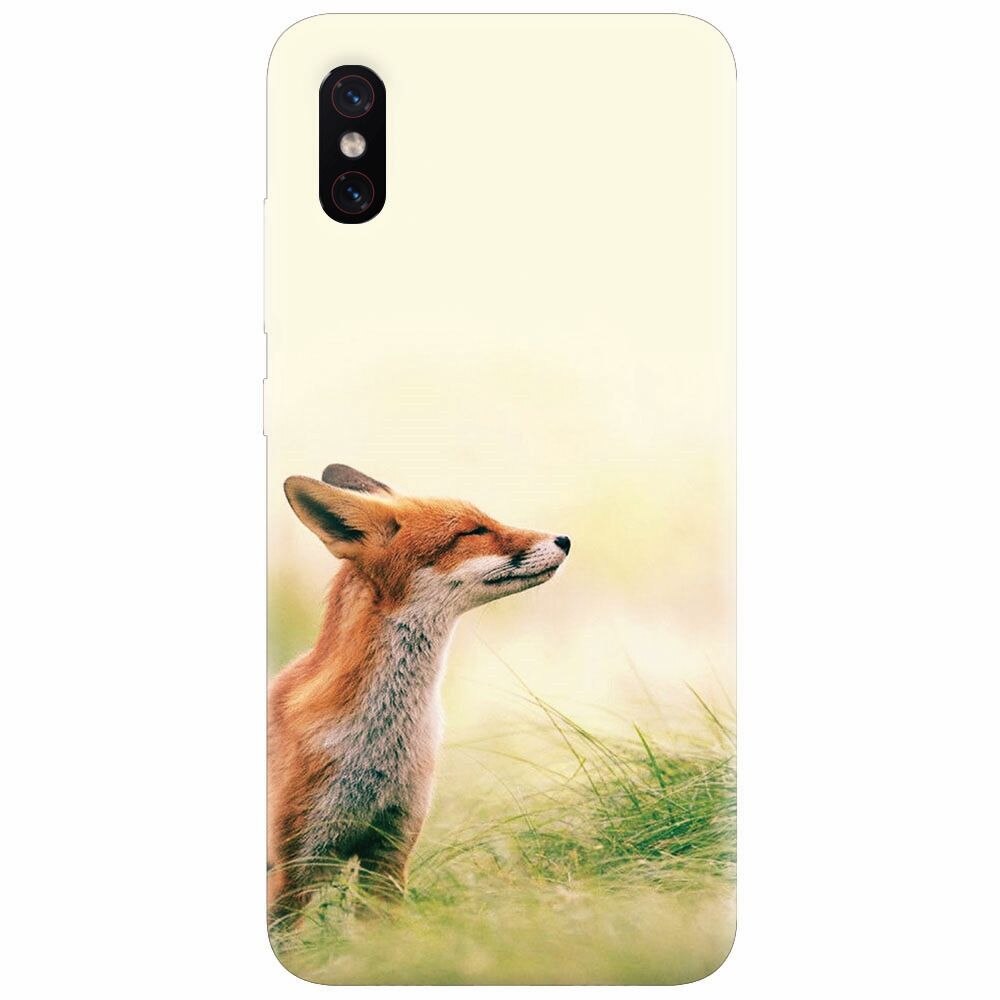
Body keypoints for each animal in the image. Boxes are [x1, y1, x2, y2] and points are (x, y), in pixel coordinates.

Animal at [268, 463, 570, 924]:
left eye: (487, 520)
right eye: (473, 531)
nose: (565, 540)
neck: (380, 745)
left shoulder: (390, 852)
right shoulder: (293, 869)